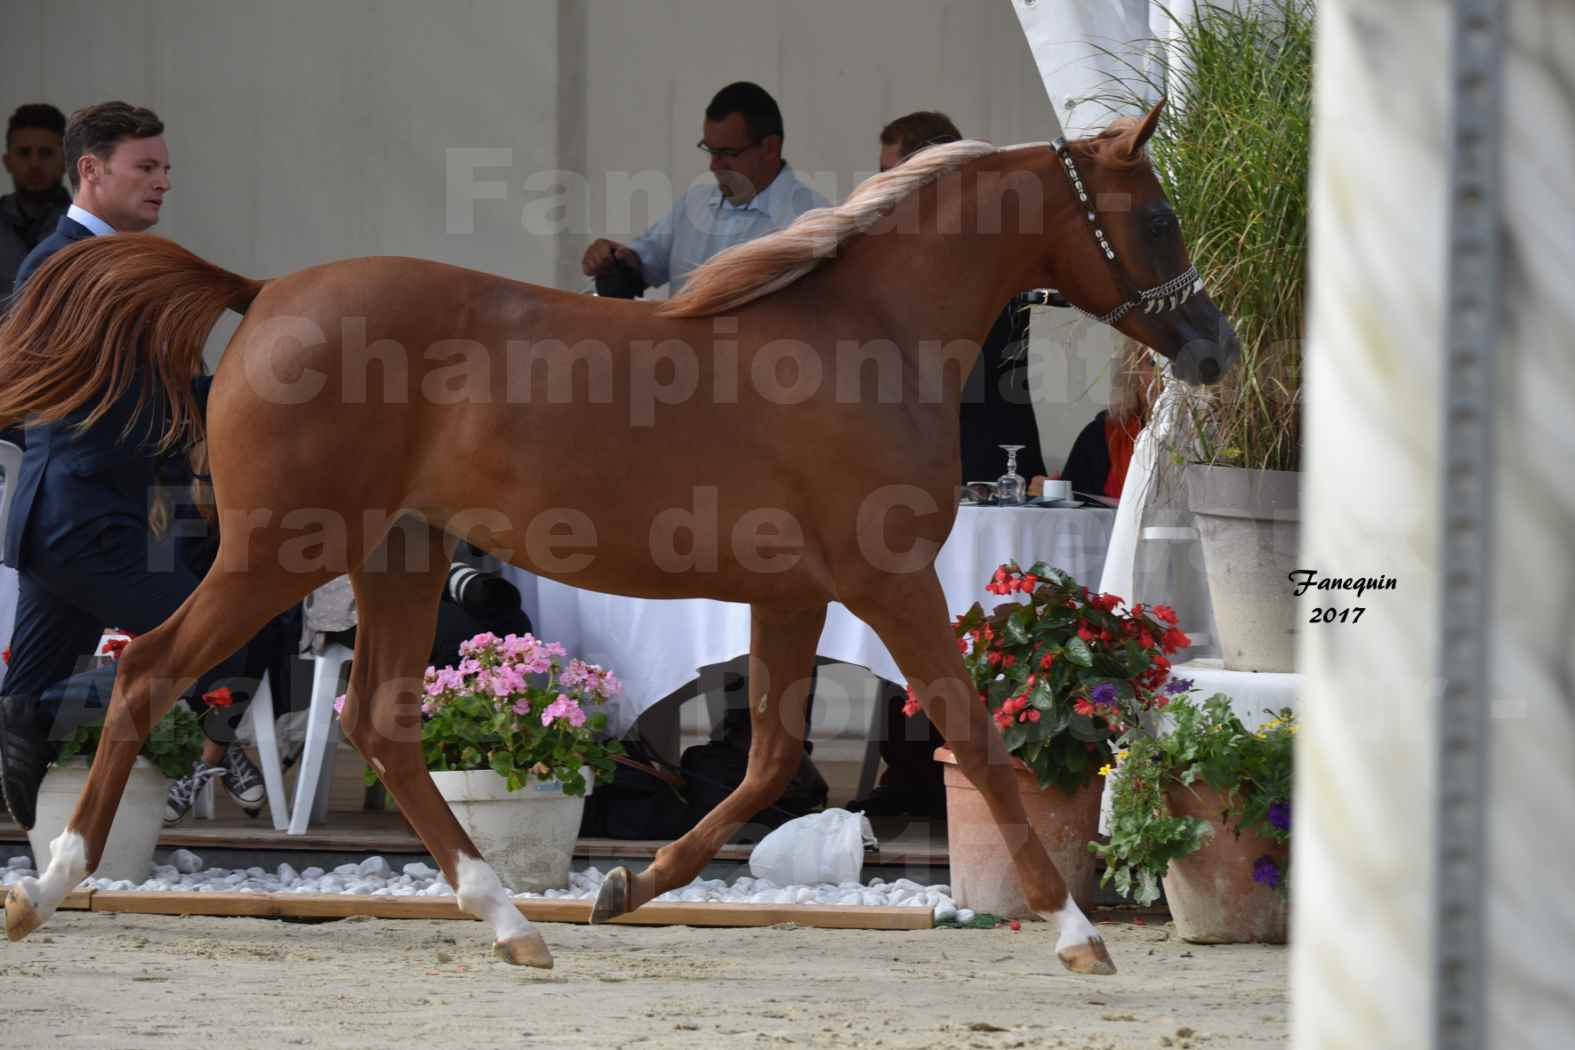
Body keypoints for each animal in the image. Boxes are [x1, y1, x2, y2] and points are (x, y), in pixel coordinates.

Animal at [0, 100, 1228, 976]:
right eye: (1156, 214)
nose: (1214, 345)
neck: (863, 336)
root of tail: (261, 294)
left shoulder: (794, 590)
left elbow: (771, 756)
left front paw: (621, 890)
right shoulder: (889, 579)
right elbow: (969, 733)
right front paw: (1078, 933)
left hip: (396, 553)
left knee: (380, 723)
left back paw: (512, 921)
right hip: (279, 551)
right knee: (151, 672)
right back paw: (49, 887)